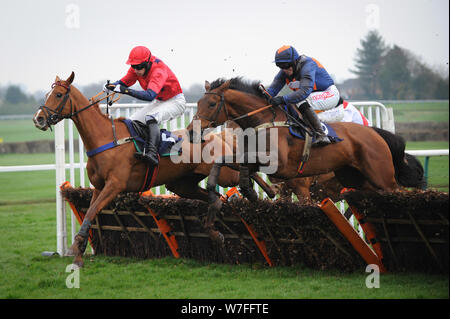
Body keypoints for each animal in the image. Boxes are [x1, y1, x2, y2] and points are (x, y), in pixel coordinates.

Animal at [32, 72, 274, 268]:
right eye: (47, 93)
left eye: (59, 95)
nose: (38, 118)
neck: (106, 138)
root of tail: (216, 135)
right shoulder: (99, 187)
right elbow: (90, 213)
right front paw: (78, 255)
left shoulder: (114, 186)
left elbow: (92, 212)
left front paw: (76, 250)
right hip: (181, 184)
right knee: (215, 199)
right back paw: (216, 231)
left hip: (224, 175)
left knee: (247, 170)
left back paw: (265, 192)